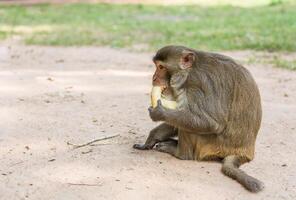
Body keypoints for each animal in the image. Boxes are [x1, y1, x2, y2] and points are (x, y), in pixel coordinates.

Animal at [133, 45, 262, 192]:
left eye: (161, 67)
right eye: (156, 66)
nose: (154, 78)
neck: (189, 72)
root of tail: (245, 152)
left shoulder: (198, 84)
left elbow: (212, 123)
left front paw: (160, 113)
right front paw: (151, 138)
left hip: (212, 145)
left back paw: (180, 153)